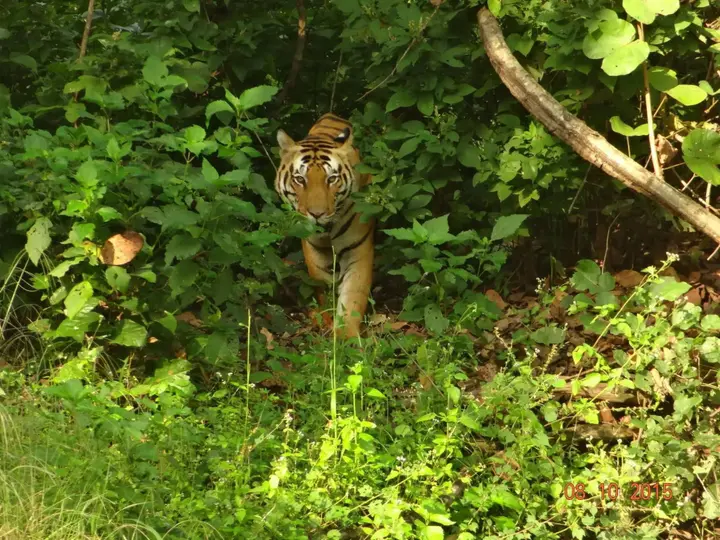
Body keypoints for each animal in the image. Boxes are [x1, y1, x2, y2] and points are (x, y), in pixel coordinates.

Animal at [275, 113, 374, 338]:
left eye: (332, 179)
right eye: (300, 179)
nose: (317, 214)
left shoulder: (358, 249)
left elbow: (353, 293)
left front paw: (346, 336)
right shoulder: (315, 252)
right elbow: (324, 288)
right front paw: (327, 321)